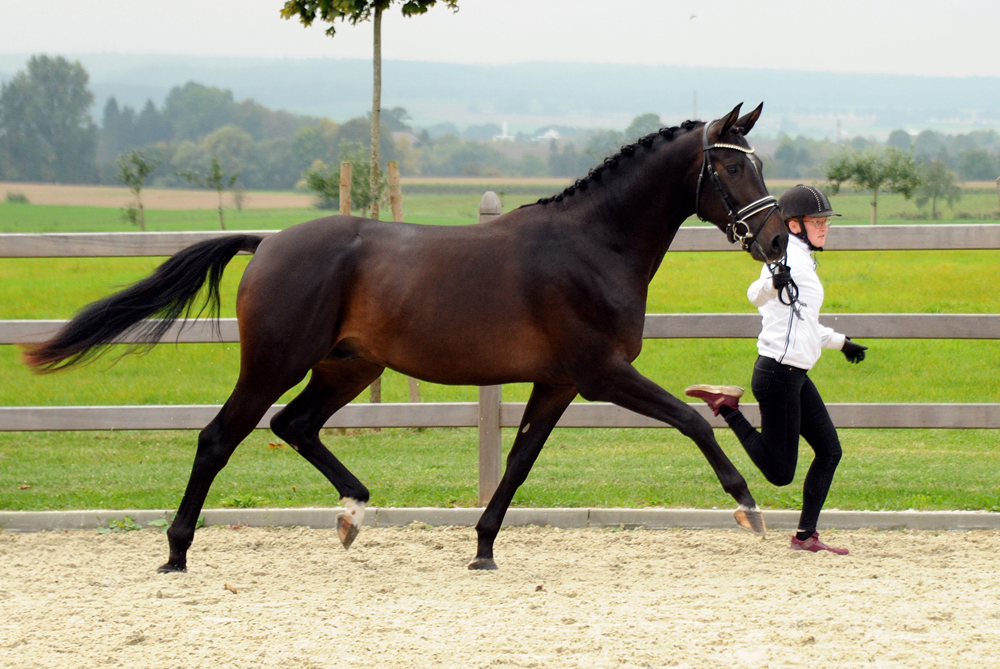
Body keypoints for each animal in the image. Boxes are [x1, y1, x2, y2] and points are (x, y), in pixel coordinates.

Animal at [25, 102, 788, 572]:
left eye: (758, 163)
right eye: (730, 166)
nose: (778, 241)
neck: (592, 245)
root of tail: (268, 242)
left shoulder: (558, 381)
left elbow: (519, 462)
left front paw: (483, 547)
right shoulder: (601, 374)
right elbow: (694, 419)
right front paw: (750, 509)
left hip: (348, 367)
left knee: (295, 424)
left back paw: (353, 512)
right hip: (276, 362)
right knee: (221, 436)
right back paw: (177, 551)